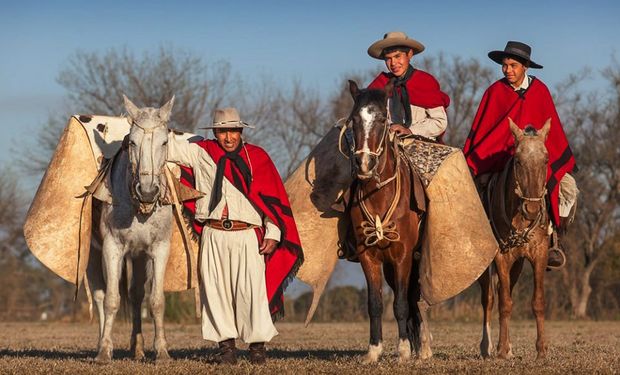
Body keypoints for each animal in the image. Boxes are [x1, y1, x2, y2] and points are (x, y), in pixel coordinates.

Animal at [87, 95, 174, 362]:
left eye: (165, 141)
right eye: (132, 142)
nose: (147, 191)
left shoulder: (159, 249)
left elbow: (156, 301)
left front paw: (162, 351)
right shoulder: (112, 248)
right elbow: (111, 300)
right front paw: (104, 352)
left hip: (138, 256)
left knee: (136, 295)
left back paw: (138, 348)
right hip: (94, 255)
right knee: (100, 294)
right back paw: (102, 344)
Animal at [346, 80, 428, 364]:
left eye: (382, 119)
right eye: (353, 120)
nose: (364, 163)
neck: (379, 196)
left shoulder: (403, 256)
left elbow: (400, 304)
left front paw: (402, 351)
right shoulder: (368, 257)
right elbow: (375, 303)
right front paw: (373, 351)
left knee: (412, 299)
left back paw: (421, 348)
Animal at [478, 118, 548, 362]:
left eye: (546, 159)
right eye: (518, 160)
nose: (532, 209)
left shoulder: (539, 254)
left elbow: (537, 302)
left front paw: (541, 349)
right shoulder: (501, 256)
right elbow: (504, 303)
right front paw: (499, 350)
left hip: (517, 265)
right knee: (489, 298)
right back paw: (487, 346)